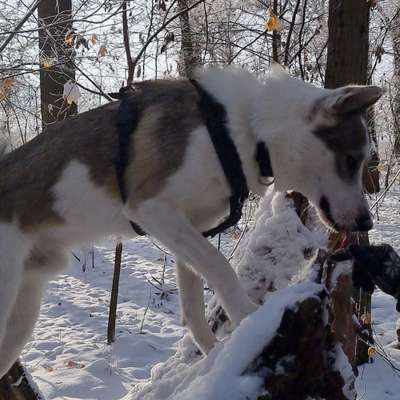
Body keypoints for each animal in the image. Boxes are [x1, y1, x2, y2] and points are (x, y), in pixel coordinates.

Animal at [0, 65, 382, 376]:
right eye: (351, 161)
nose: (366, 223)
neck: (240, 130)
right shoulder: (152, 209)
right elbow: (221, 269)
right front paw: (249, 318)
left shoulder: (189, 229)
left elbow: (195, 306)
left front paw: (216, 356)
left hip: (21, 317)